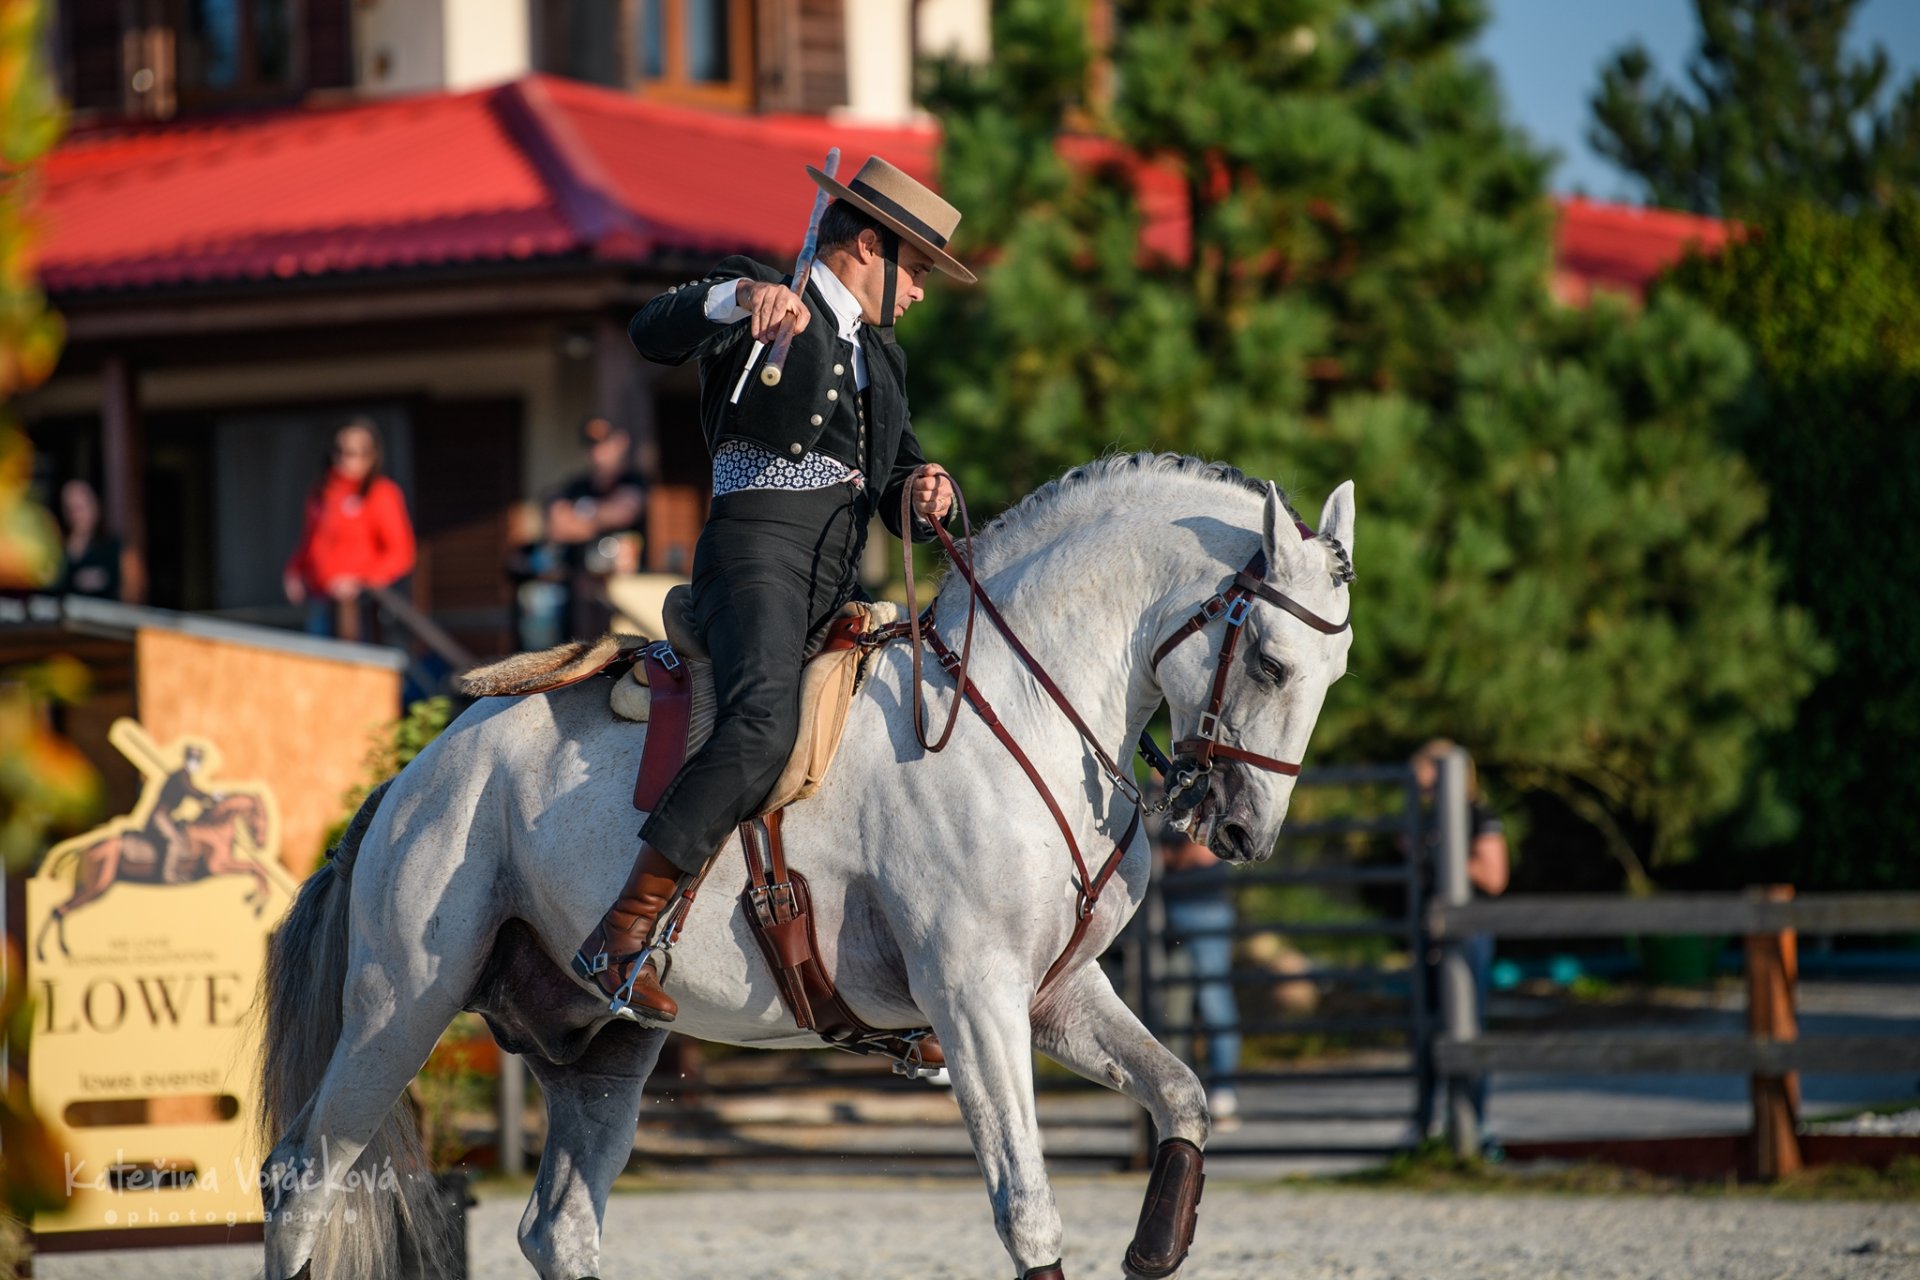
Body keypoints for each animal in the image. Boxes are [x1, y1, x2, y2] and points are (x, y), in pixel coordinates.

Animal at [263, 458, 1359, 1280]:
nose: (1244, 830)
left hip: (601, 1050)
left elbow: (1182, 1095)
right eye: (1269, 662)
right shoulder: (974, 999)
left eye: (1332, 673)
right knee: (300, 1178)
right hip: (401, 1007)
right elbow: (1027, 1208)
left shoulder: (1057, 995)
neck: (1015, 708)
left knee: (558, 1228)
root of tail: (416, 776)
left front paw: (1154, 1246)